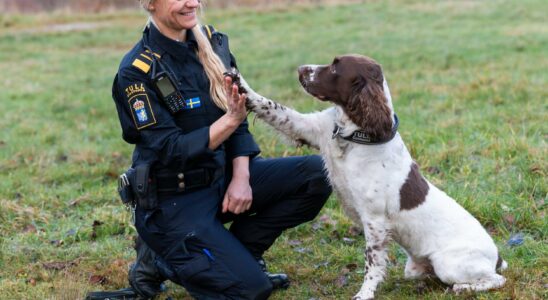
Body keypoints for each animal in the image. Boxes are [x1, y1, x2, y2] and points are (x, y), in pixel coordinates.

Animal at [238, 55, 508, 298]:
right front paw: (236, 81)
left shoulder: (375, 221)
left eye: (335, 66)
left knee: (496, 279)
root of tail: (497, 255)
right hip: (418, 267)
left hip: (450, 264)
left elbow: (372, 264)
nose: (301, 68)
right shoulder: (310, 128)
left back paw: (464, 288)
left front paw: (364, 293)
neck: (354, 136)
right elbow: (271, 106)